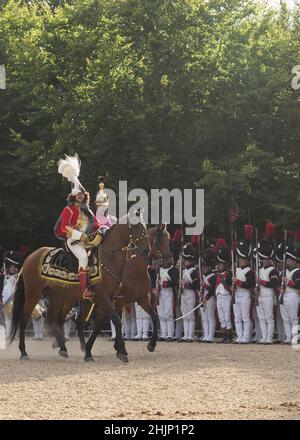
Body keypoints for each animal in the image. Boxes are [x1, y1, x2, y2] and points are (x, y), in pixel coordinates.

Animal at [9, 218, 171, 362]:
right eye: (137, 228)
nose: (170, 261)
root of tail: (30, 257)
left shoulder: (134, 298)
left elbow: (152, 316)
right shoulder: (110, 298)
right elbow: (116, 320)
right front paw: (121, 351)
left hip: (59, 297)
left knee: (58, 319)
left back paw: (63, 347)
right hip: (33, 293)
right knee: (25, 318)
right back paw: (24, 352)